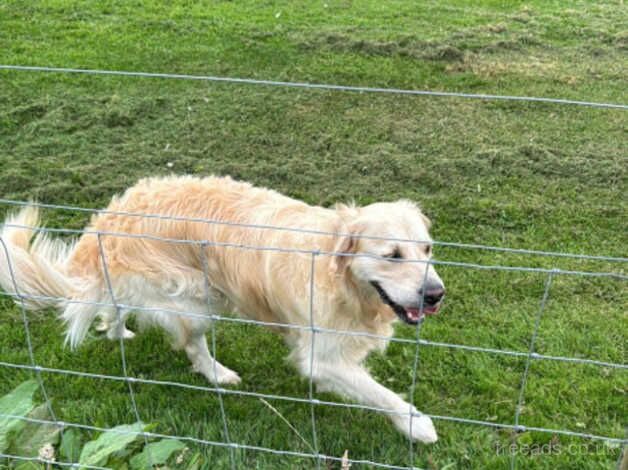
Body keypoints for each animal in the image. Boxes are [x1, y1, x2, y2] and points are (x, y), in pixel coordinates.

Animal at [0, 174, 444, 442]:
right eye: (392, 256)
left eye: (426, 249)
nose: (436, 294)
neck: (342, 280)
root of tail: (108, 221)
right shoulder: (322, 358)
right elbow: (380, 393)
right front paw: (416, 424)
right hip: (198, 298)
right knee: (193, 346)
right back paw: (218, 373)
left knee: (115, 306)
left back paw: (117, 329)